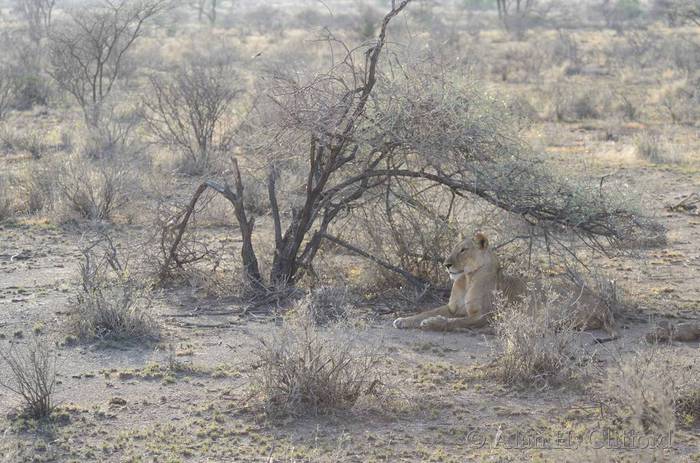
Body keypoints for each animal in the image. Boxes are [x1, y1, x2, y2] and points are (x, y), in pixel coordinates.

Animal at [393, 232, 617, 337]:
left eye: (463, 250)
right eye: (454, 248)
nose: (446, 264)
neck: (466, 278)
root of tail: (604, 305)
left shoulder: (483, 314)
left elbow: (456, 321)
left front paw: (433, 323)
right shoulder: (453, 308)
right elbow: (425, 312)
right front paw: (403, 319)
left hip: (547, 307)